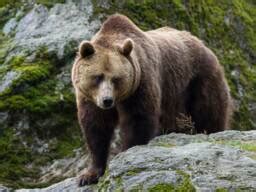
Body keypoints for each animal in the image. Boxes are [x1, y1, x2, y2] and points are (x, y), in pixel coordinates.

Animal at [71, 13, 232, 186]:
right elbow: (96, 128)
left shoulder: (142, 82)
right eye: (98, 77)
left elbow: (138, 119)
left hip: (198, 81)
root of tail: (202, 44)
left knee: (209, 113)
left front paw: (127, 153)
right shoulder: (89, 98)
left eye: (116, 79)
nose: (107, 100)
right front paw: (88, 175)